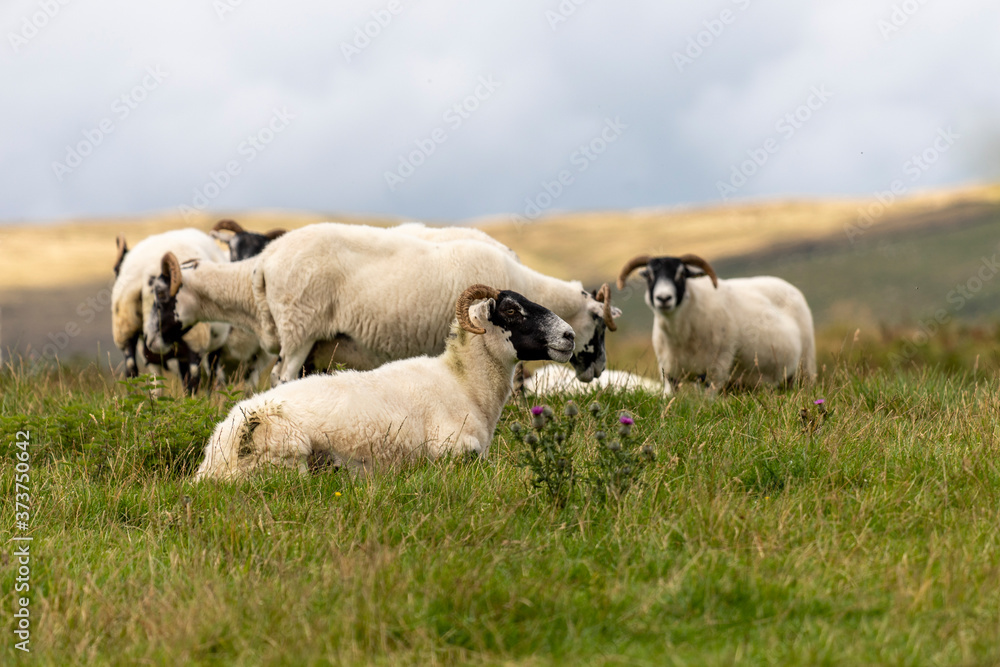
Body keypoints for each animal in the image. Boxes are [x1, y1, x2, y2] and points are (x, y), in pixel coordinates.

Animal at [144, 222, 620, 387]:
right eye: (598, 328)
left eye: (160, 295)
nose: (597, 370)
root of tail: (267, 261)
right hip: (299, 331)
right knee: (282, 378)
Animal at [194, 284, 576, 479]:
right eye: (511, 310)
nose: (569, 336)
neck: (464, 383)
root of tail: (218, 454)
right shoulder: (453, 450)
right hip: (291, 453)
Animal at [617, 253, 816, 393]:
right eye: (649, 276)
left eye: (682, 274)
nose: (663, 298)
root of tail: (789, 286)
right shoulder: (668, 371)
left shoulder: (714, 371)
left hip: (804, 367)